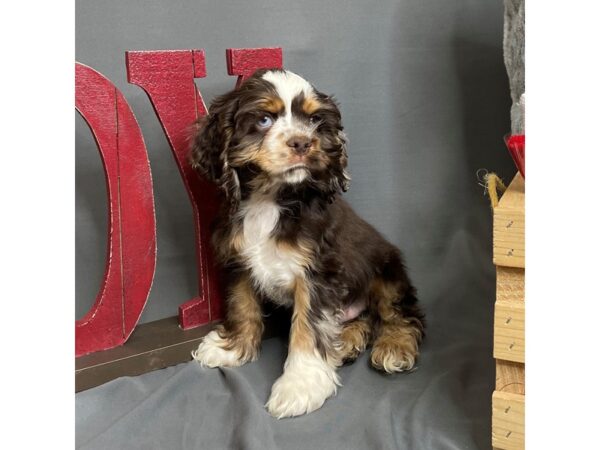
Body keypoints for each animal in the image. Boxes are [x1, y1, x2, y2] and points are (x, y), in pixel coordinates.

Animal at [190, 67, 424, 418]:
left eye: (314, 120)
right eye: (264, 119)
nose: (303, 142)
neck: (270, 199)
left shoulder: (317, 273)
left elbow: (307, 328)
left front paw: (299, 387)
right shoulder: (239, 261)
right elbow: (241, 305)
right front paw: (231, 347)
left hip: (388, 270)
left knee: (399, 314)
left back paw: (394, 346)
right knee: (364, 318)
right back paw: (347, 341)